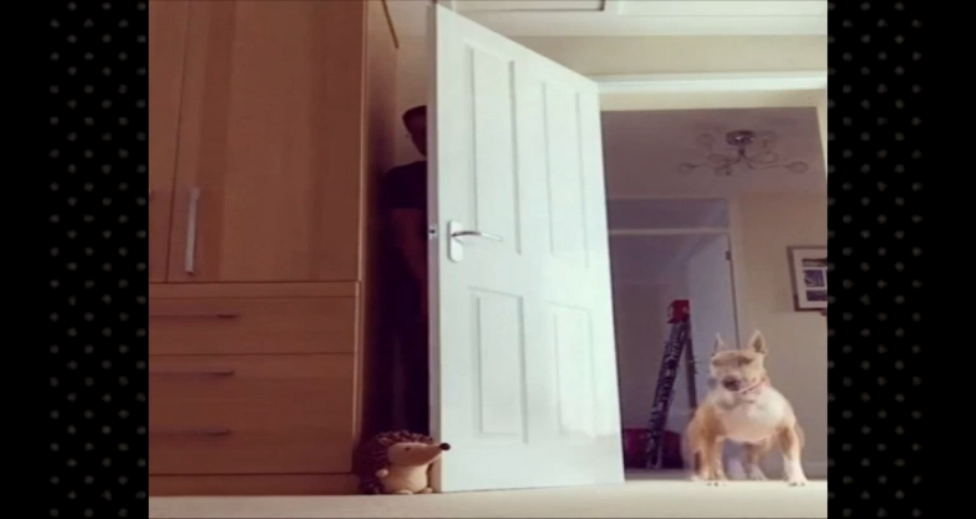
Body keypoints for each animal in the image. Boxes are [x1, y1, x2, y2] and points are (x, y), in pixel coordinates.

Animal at [685, 331, 808, 486]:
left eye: (746, 361)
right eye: (716, 363)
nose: (728, 381)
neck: (745, 400)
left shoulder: (787, 432)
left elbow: (791, 458)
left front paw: (797, 478)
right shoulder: (711, 434)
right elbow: (712, 459)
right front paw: (716, 480)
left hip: (764, 442)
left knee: (752, 458)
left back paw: (757, 474)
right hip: (701, 440)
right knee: (706, 458)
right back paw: (702, 476)